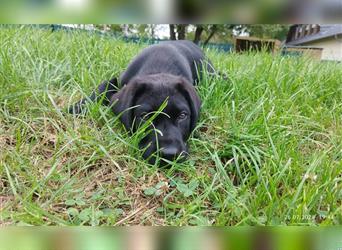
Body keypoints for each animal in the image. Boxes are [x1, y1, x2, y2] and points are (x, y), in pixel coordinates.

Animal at [68, 40, 215, 163]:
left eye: (182, 115)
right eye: (145, 117)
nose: (169, 154)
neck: (159, 67)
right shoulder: (120, 79)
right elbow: (104, 85)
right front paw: (78, 107)